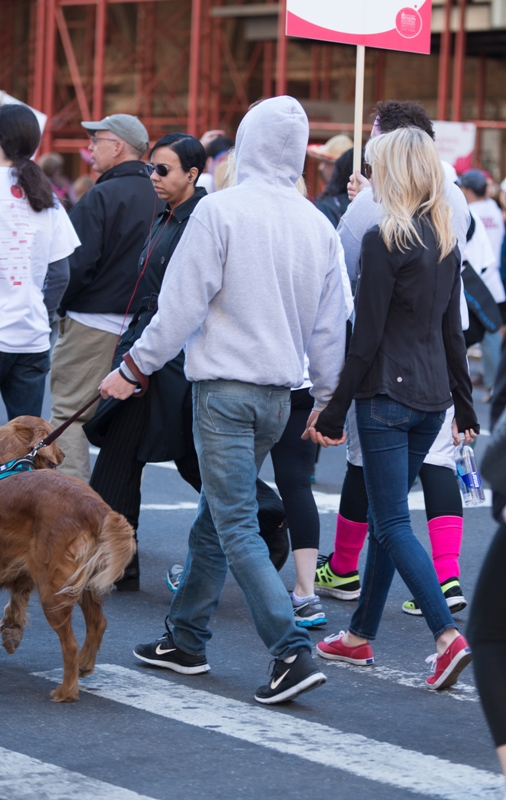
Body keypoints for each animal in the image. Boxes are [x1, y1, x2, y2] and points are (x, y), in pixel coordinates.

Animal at [0, 416, 136, 701]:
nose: (62, 454)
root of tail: (95, 507)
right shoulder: (23, 571)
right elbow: (16, 602)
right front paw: (11, 631)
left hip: (53, 589)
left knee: (70, 644)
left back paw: (66, 691)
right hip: (79, 580)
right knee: (98, 623)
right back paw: (84, 664)